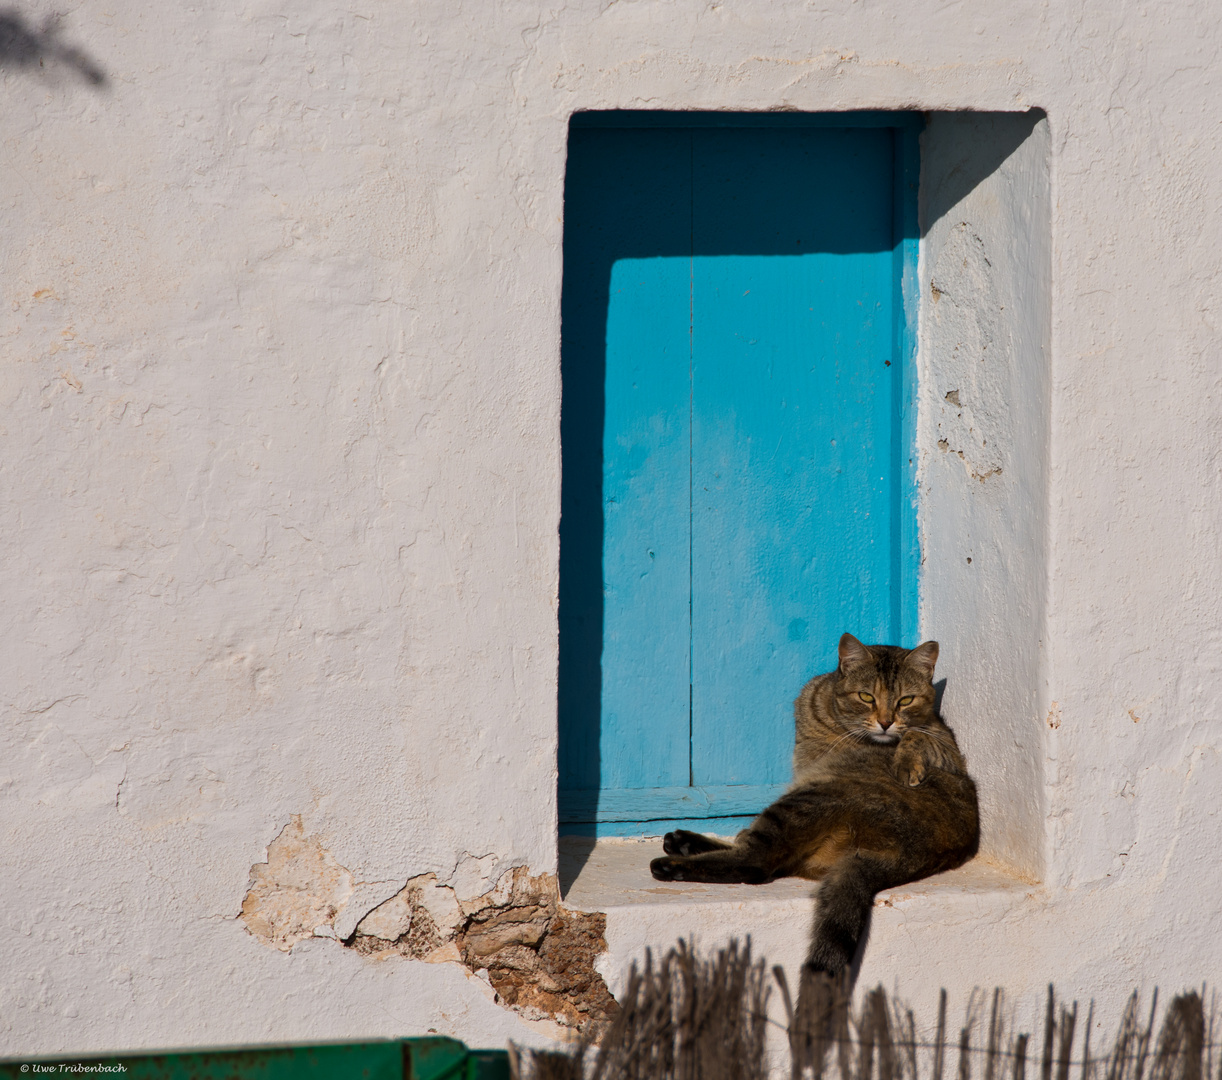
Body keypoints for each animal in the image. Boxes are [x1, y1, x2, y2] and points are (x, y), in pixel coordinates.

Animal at [650, 630, 982, 977]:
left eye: (906, 700)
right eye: (866, 697)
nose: (885, 722)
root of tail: (909, 855)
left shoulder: (946, 744)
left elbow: (919, 737)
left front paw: (906, 758)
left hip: (810, 797)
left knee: (757, 861)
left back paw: (674, 863)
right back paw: (684, 842)